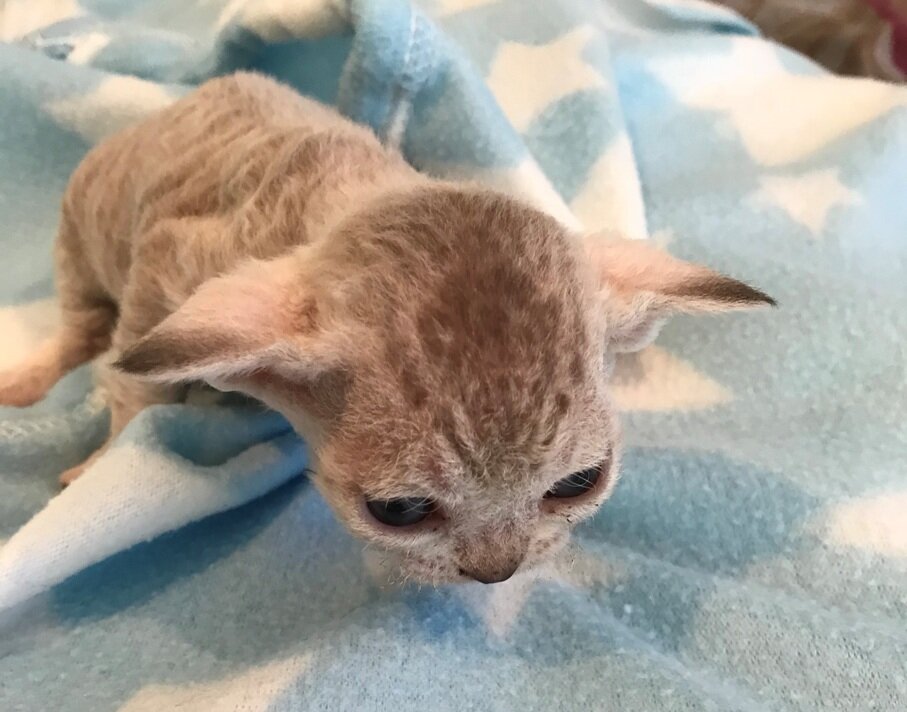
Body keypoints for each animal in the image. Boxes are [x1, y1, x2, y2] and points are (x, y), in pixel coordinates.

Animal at [0, 72, 772, 584]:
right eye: (398, 511)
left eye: (579, 483)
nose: (497, 572)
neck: (345, 189)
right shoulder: (166, 264)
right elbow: (132, 382)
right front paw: (104, 461)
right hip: (81, 231)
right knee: (82, 327)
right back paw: (34, 379)